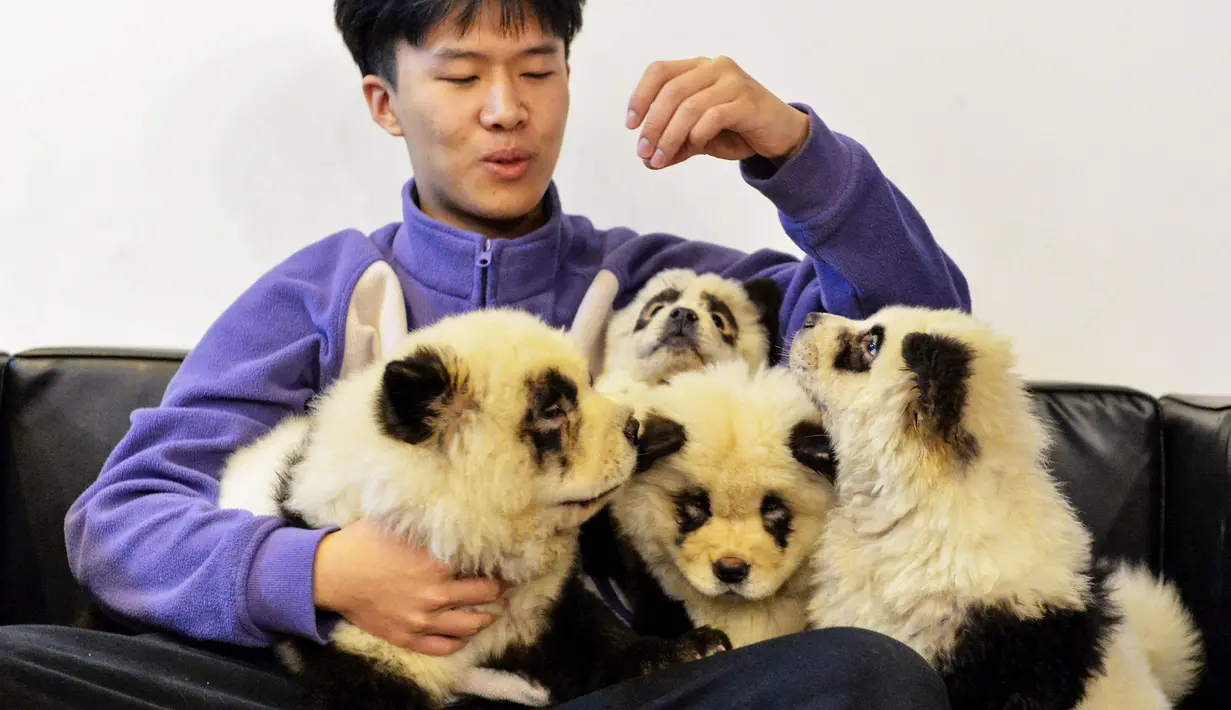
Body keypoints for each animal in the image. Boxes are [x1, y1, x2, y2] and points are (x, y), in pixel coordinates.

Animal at [215, 308, 731, 710]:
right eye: (553, 410)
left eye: (587, 383)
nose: (633, 429)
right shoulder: (361, 630)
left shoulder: (541, 602)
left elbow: (595, 638)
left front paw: (687, 650)